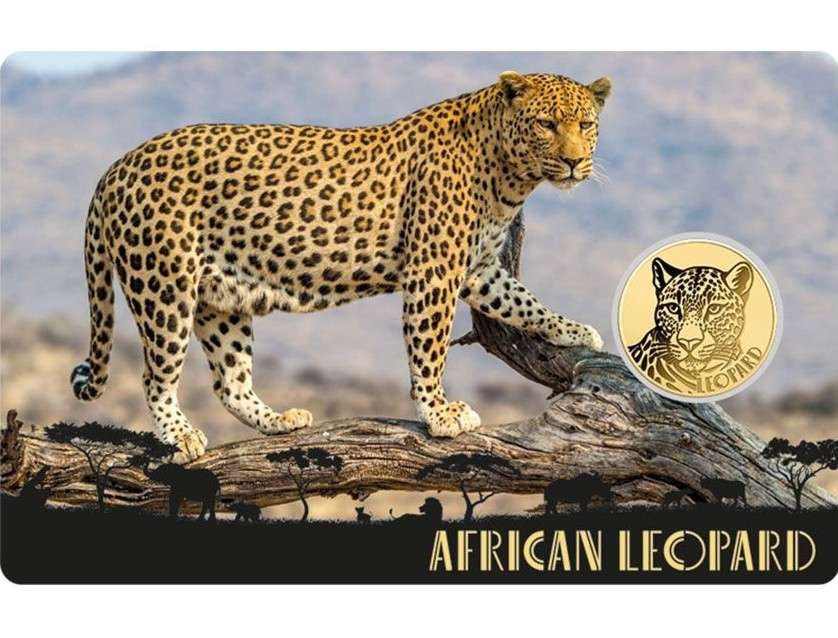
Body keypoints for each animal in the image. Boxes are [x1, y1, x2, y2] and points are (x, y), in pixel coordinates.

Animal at [71, 71, 611, 463]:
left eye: (585, 125)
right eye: (546, 124)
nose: (573, 162)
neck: (509, 177)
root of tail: (114, 168)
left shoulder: (477, 269)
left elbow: (524, 301)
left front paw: (574, 330)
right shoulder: (433, 270)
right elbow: (429, 348)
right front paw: (438, 413)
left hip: (220, 299)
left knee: (230, 381)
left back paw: (278, 421)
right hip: (164, 286)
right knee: (156, 376)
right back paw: (180, 436)